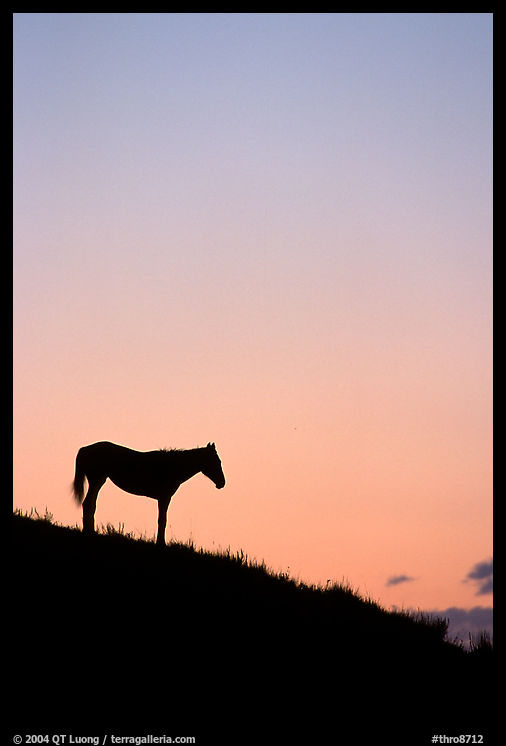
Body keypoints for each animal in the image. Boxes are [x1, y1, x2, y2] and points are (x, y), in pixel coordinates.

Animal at [72, 441, 225, 545]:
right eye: (216, 461)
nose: (222, 483)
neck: (172, 467)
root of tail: (85, 449)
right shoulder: (164, 497)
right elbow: (162, 520)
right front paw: (161, 543)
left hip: (98, 481)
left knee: (90, 504)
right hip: (97, 480)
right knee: (88, 504)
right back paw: (89, 532)